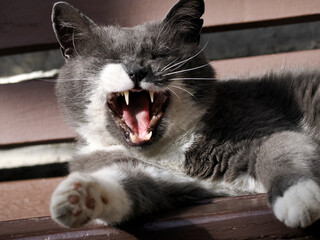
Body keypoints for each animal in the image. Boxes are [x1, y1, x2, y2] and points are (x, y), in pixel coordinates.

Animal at [50, 0, 320, 229]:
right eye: (110, 59)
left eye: (158, 55)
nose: (137, 69)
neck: (169, 152)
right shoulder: (161, 179)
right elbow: (129, 185)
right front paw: (77, 196)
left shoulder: (265, 126)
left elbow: (279, 153)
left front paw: (297, 198)